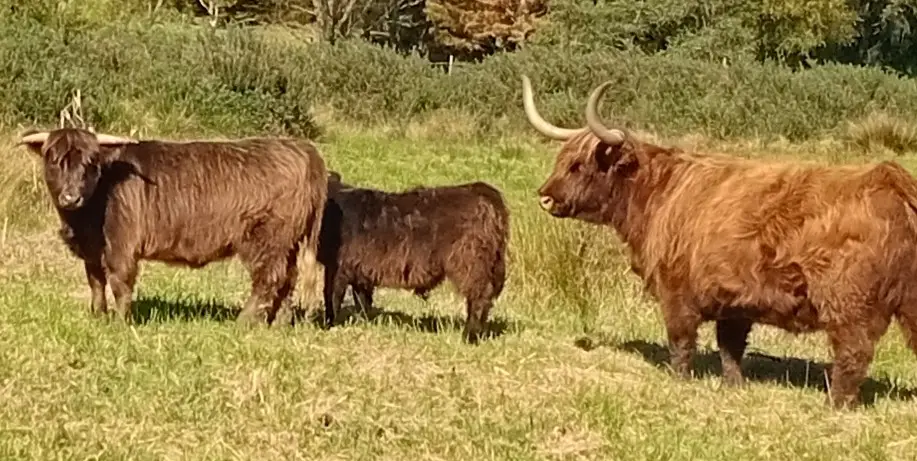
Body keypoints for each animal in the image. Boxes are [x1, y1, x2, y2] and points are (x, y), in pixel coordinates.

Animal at [17, 128, 328, 326]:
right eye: (53, 161)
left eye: (90, 163)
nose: (71, 197)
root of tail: (301, 149)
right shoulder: (92, 250)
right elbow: (96, 282)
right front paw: (98, 316)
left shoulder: (121, 244)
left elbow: (119, 282)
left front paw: (120, 323)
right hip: (288, 243)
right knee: (288, 279)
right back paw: (277, 323)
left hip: (265, 239)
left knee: (269, 278)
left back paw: (243, 322)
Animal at [316, 171, 509, 344]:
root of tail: (481, 191)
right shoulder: (360, 271)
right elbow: (362, 301)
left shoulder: (337, 267)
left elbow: (332, 295)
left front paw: (327, 325)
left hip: (470, 263)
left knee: (479, 298)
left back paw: (470, 336)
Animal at [521, 75, 917, 408]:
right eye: (562, 159)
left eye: (578, 166)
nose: (544, 196)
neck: (657, 192)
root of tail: (890, 179)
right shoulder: (736, 299)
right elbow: (730, 346)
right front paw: (733, 385)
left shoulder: (676, 290)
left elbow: (681, 340)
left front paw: (678, 381)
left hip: (849, 304)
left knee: (853, 353)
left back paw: (836, 405)